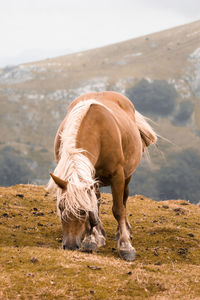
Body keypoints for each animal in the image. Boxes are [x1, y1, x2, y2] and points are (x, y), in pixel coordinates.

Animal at [46, 91, 156, 260]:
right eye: (60, 207)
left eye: (82, 211)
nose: (70, 246)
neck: (97, 131)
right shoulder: (91, 177)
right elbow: (93, 205)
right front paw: (91, 240)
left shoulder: (118, 176)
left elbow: (118, 209)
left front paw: (125, 246)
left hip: (127, 176)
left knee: (124, 199)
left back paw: (122, 231)